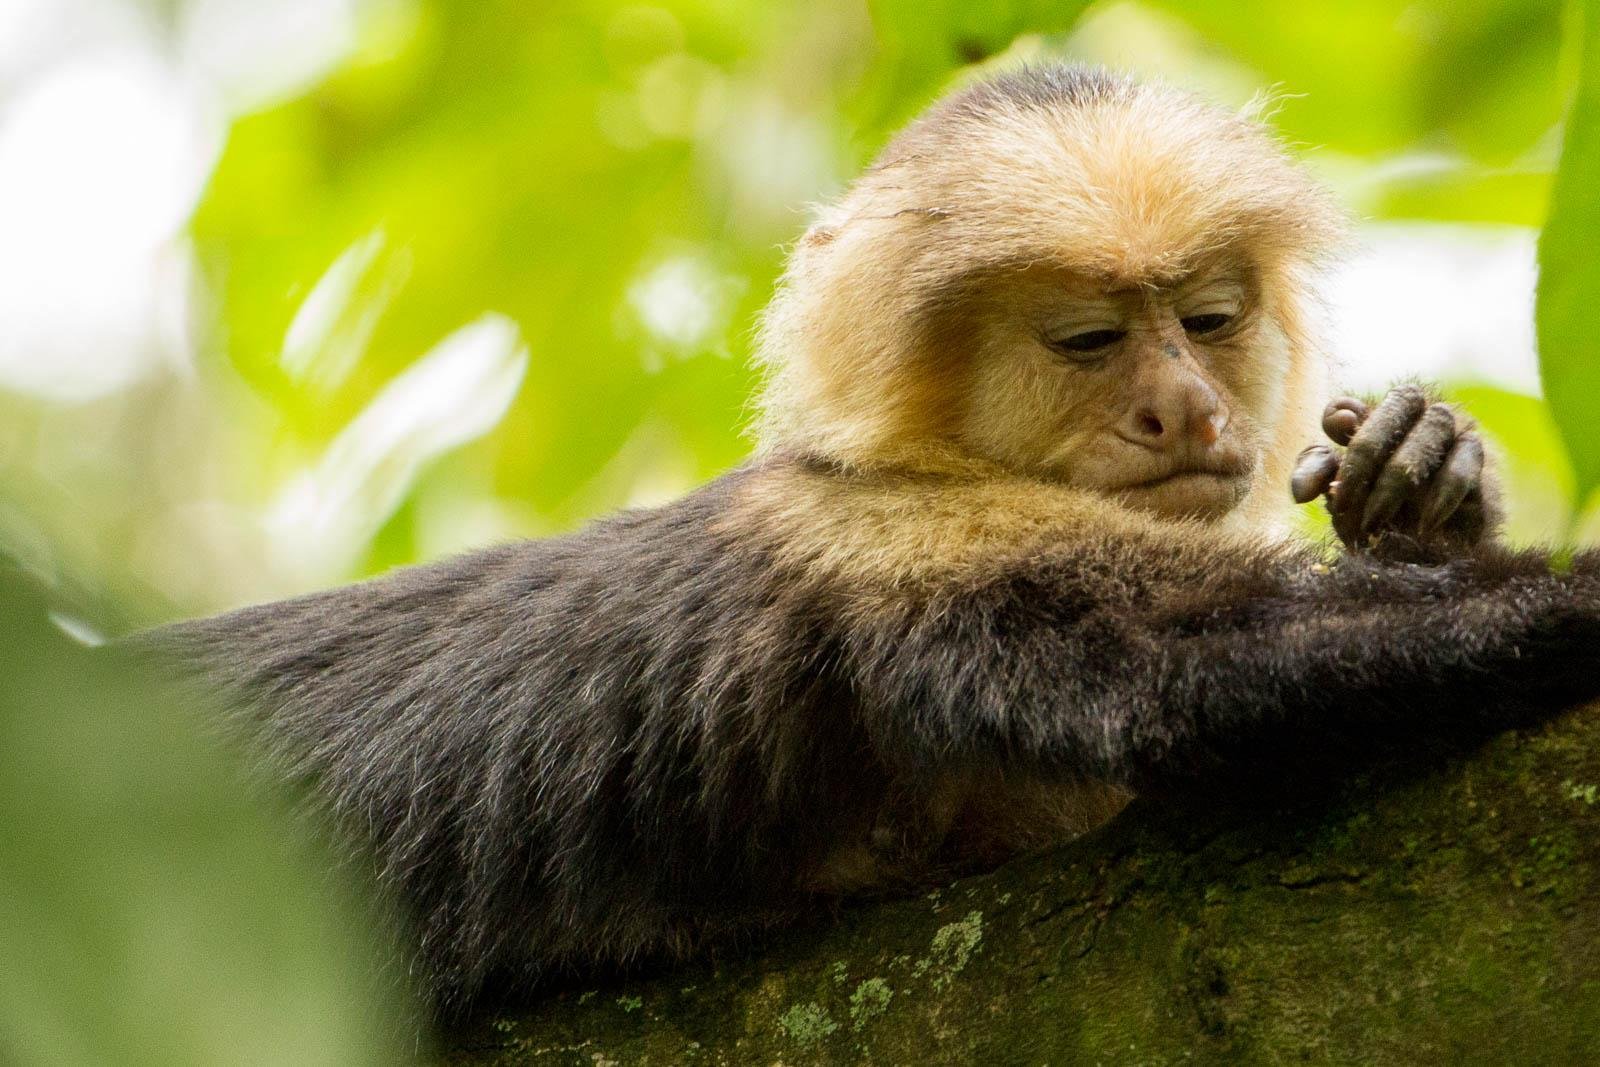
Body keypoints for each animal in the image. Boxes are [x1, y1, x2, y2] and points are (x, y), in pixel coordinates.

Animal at [139, 65, 1600, 1016]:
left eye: (1208, 319)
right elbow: (1190, 663)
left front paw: (1422, 472)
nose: (1184, 407)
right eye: (1090, 339)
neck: (934, 467)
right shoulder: (902, 533)